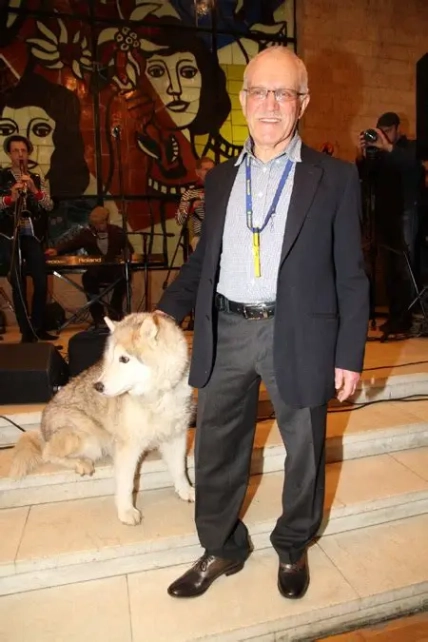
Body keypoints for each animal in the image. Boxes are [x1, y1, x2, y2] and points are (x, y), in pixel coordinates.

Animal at [10, 312, 195, 525]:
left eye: (124, 359)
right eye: (110, 358)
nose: (97, 386)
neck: (156, 398)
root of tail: (42, 430)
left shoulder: (176, 436)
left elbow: (180, 469)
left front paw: (185, 491)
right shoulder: (127, 447)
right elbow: (126, 483)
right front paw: (126, 511)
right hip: (88, 440)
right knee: (47, 452)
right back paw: (80, 463)